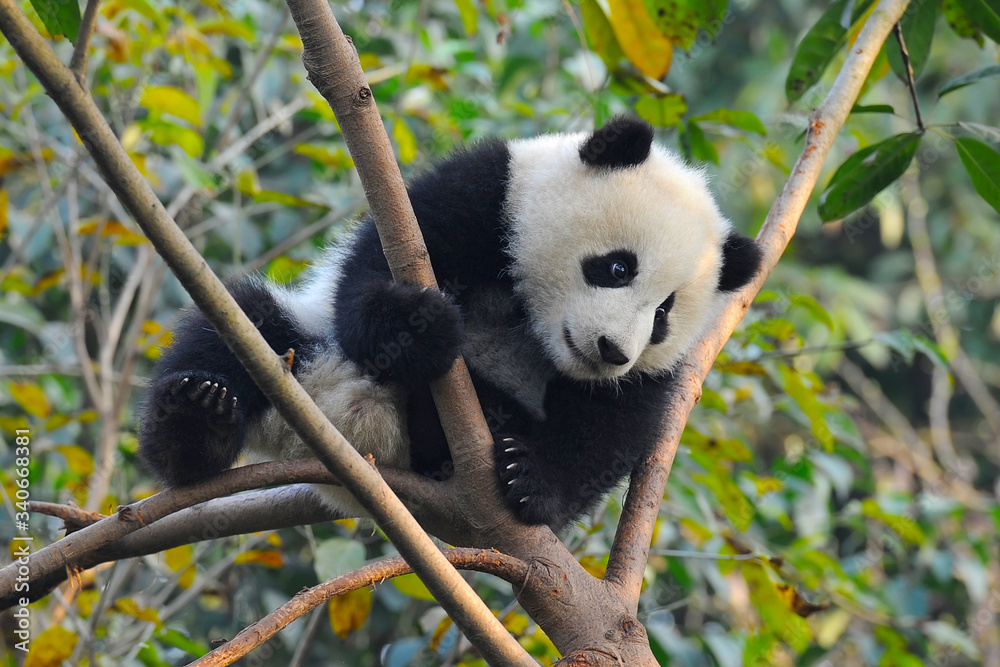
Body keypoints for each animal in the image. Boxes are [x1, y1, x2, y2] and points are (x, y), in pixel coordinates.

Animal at [138, 116, 761, 530]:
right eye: (617, 267)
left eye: (663, 316)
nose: (611, 351)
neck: (530, 311)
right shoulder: (487, 194)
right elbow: (372, 275)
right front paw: (423, 330)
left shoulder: (657, 370)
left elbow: (611, 424)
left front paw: (533, 481)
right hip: (309, 351)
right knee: (238, 328)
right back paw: (197, 422)